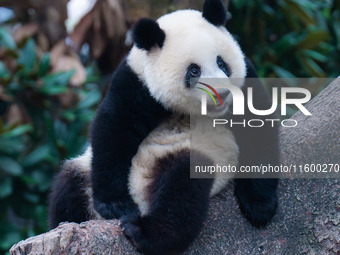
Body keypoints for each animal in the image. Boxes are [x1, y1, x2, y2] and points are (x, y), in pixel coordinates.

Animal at [49, 0, 280, 255]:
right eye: (194, 71)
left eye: (222, 63)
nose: (223, 94)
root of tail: (142, 196)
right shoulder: (136, 83)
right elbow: (114, 130)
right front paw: (115, 205)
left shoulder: (246, 79)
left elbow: (258, 131)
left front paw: (259, 204)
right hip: (84, 171)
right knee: (68, 189)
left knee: (180, 192)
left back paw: (143, 232)